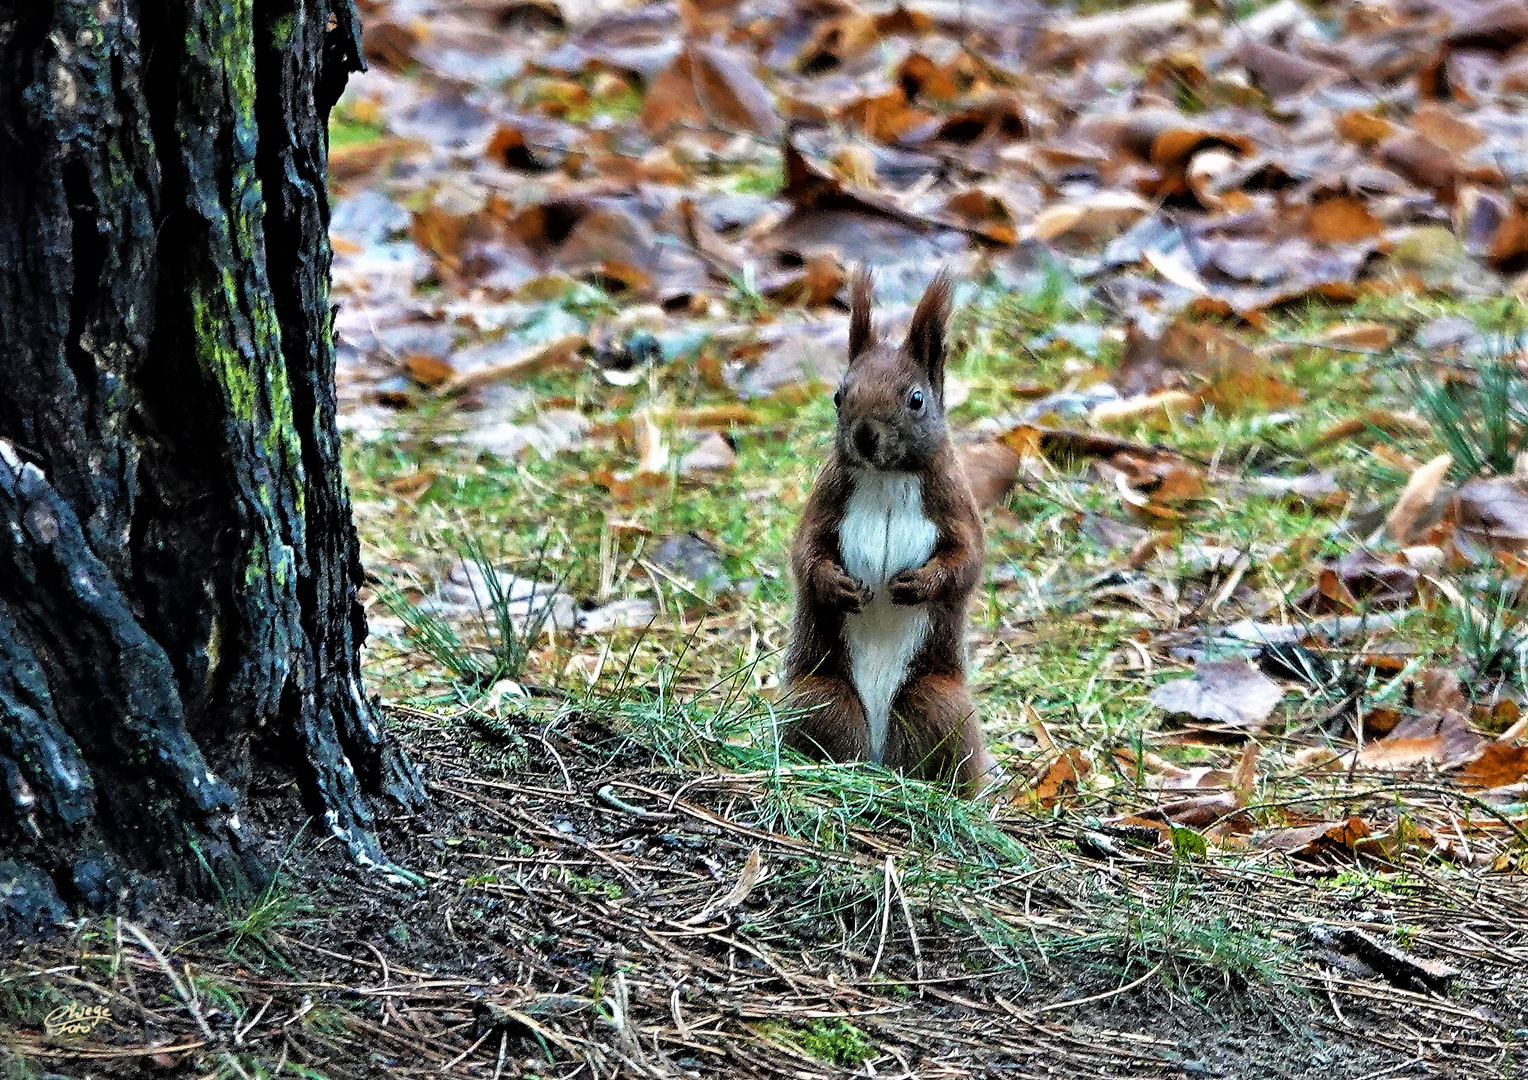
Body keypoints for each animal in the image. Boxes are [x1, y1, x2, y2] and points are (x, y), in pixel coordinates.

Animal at [782, 270, 996, 794]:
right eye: (839, 395)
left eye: (916, 399)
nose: (864, 435)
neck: (885, 477)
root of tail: (880, 756)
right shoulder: (826, 500)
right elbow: (806, 554)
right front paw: (836, 586)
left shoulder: (954, 504)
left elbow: (967, 559)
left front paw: (920, 583)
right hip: (818, 698)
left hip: (936, 703)